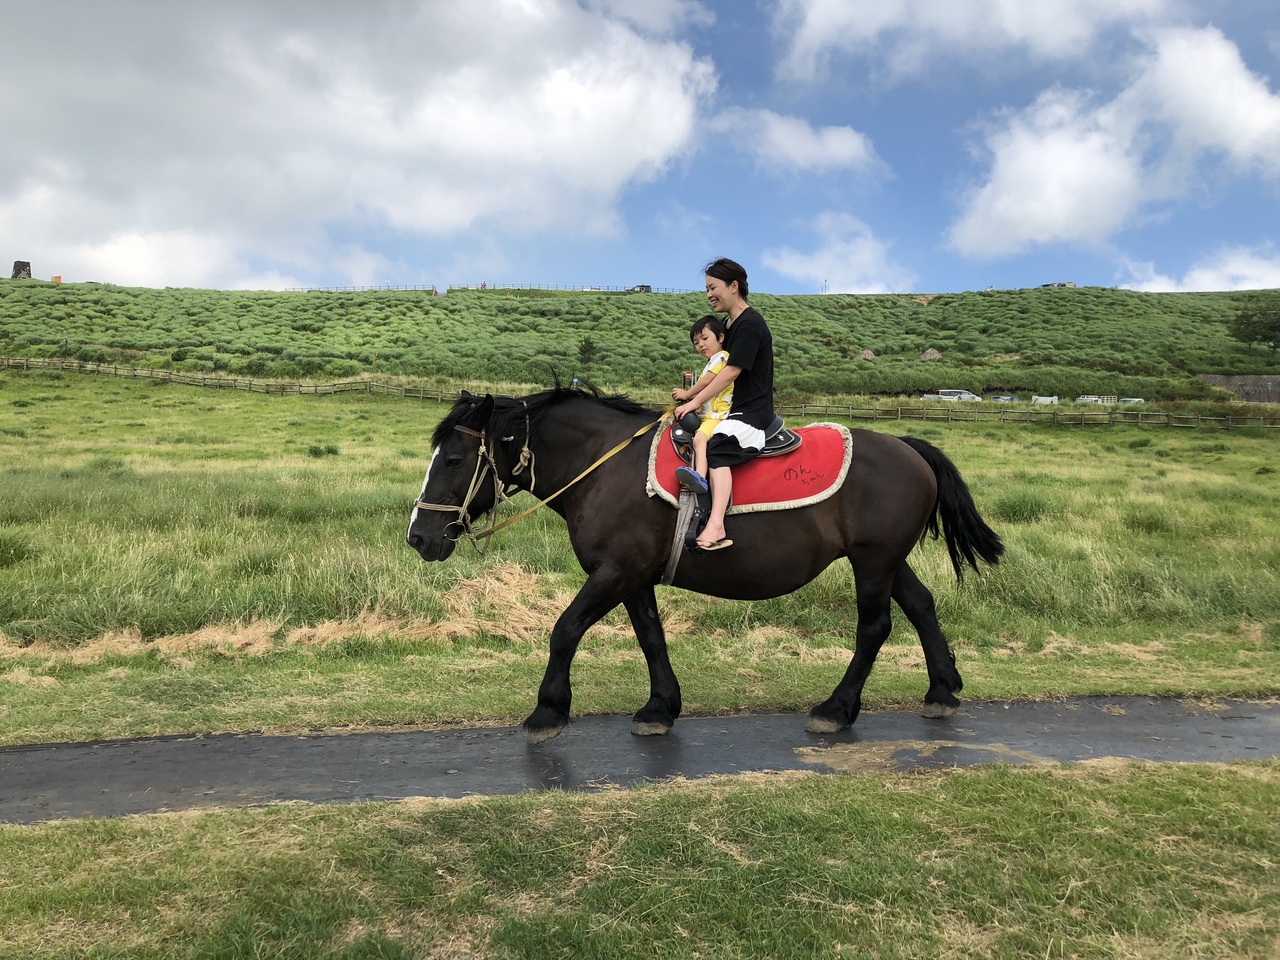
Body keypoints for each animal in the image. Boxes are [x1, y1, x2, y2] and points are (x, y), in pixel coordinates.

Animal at [404, 386, 1003, 747]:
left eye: (453, 460)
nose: (419, 536)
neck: (605, 468)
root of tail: (909, 447)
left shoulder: (615, 571)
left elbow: (565, 629)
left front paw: (548, 710)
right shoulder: (633, 576)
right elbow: (651, 638)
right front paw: (660, 707)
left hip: (874, 562)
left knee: (875, 627)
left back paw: (837, 708)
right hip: (885, 560)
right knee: (922, 606)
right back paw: (942, 690)